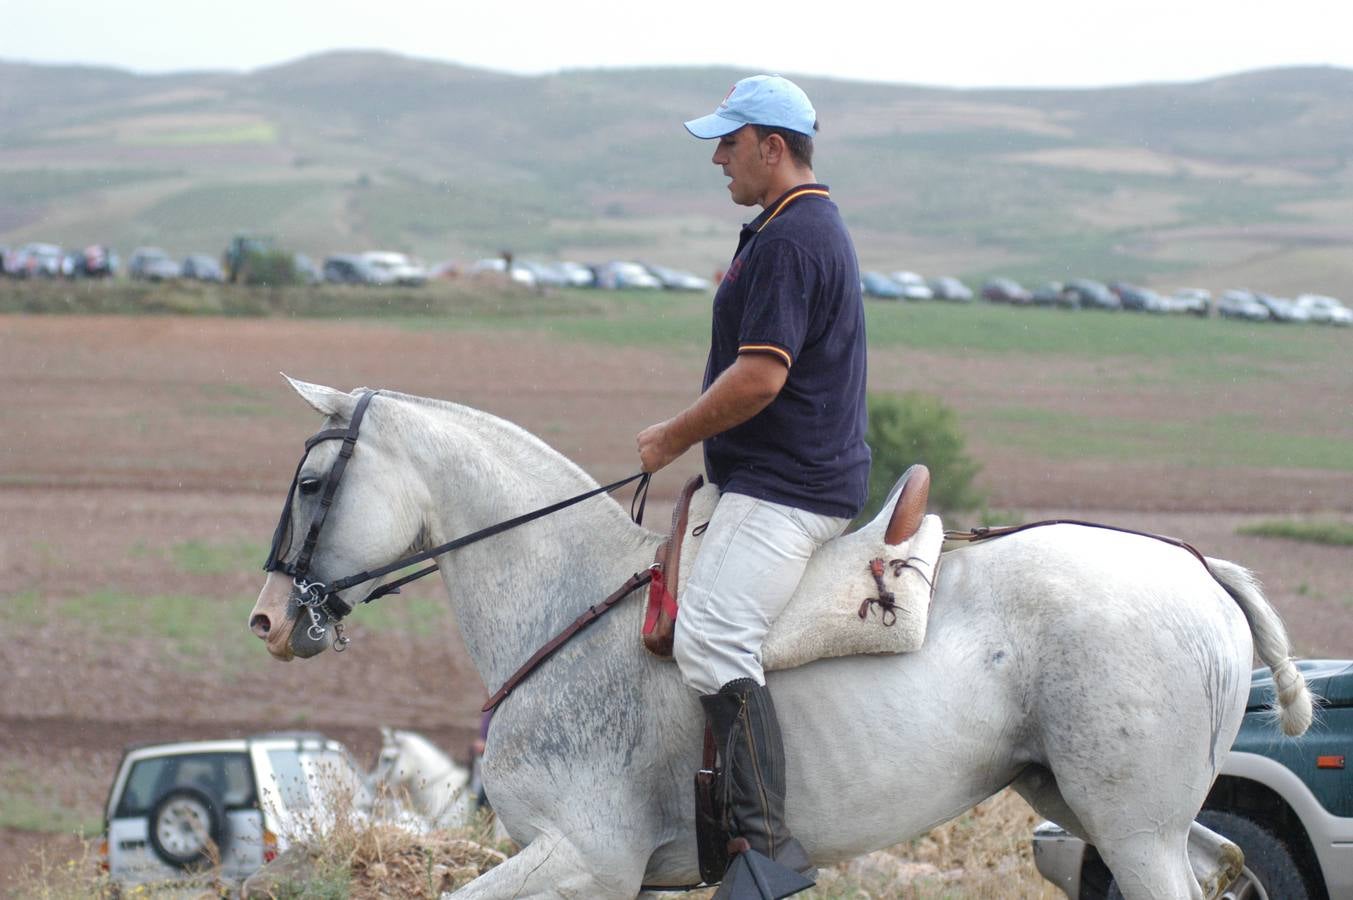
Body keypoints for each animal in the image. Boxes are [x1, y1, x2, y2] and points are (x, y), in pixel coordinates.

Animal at [246, 381, 1309, 898]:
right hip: (1090, 803)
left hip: (1129, 827)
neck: (567, 602)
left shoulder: (586, 856)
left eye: (311, 483)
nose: (268, 620)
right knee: (1222, 862)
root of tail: (1195, 567)